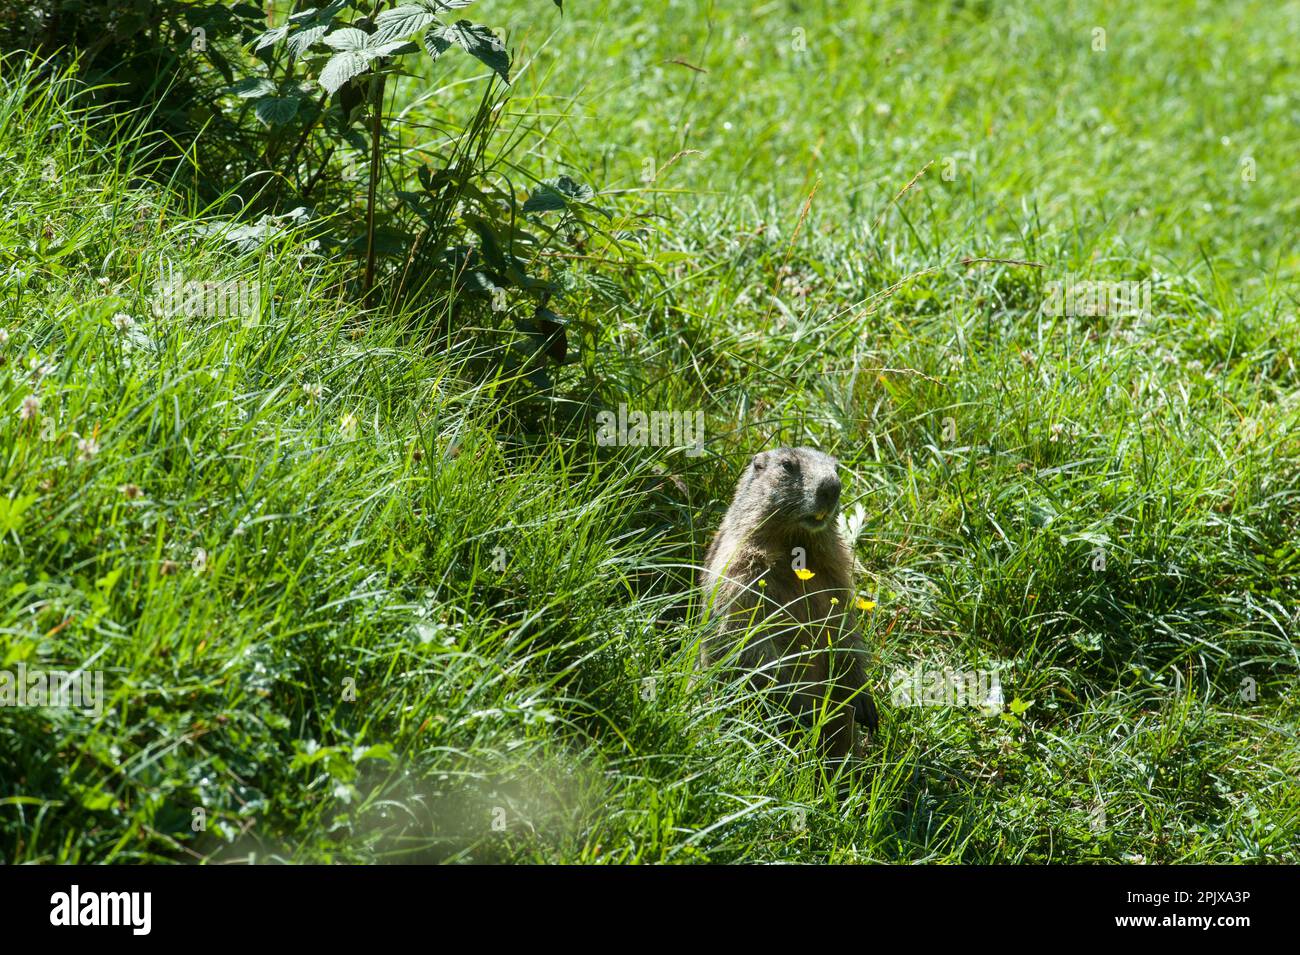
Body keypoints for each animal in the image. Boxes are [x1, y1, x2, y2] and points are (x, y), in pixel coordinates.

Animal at [699, 447, 877, 760]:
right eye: (787, 465)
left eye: (837, 468)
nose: (832, 487)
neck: (796, 543)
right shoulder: (739, 570)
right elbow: (746, 633)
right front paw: (802, 707)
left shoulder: (837, 571)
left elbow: (844, 628)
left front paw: (865, 699)